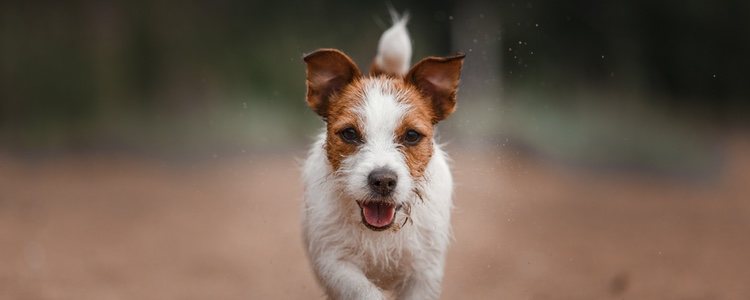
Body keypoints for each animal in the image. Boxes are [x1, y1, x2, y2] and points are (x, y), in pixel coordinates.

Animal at [300, 10, 464, 298]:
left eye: (411, 135)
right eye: (350, 133)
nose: (383, 181)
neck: (381, 234)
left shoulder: (424, 272)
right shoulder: (335, 263)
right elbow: (366, 292)